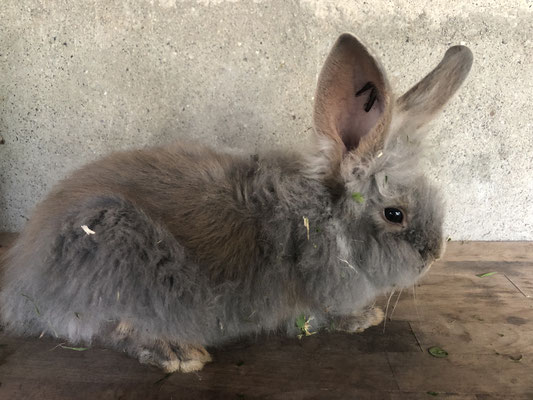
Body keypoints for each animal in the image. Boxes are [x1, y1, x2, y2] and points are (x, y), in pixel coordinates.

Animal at [0, 33, 474, 372]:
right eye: (395, 214)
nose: (435, 254)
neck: (323, 222)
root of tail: (22, 280)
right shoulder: (311, 301)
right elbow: (321, 317)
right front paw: (364, 318)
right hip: (117, 246)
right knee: (113, 326)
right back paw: (179, 354)